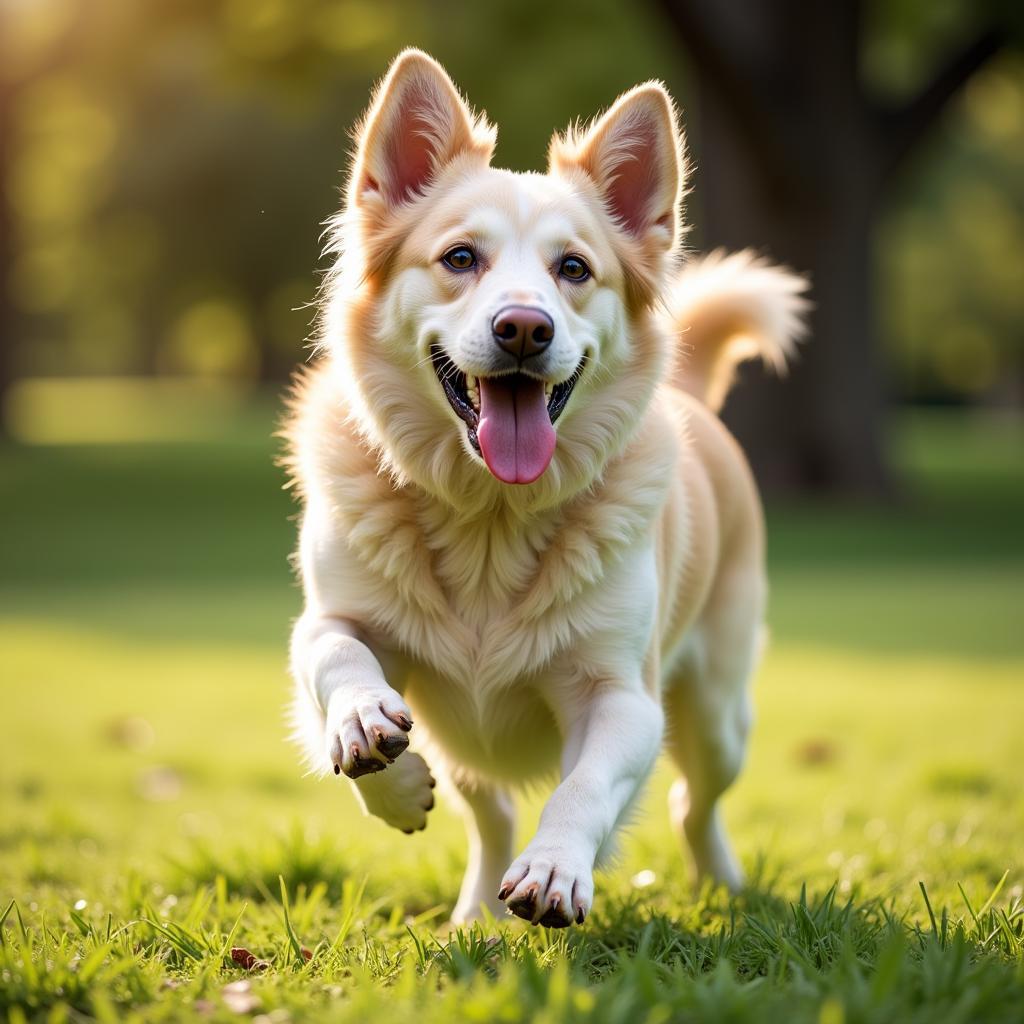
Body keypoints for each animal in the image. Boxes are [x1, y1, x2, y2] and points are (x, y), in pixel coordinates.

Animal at [282, 48, 806, 929]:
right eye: (461, 258)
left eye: (574, 270)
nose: (525, 328)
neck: (492, 517)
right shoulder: (328, 617)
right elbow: (337, 661)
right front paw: (377, 754)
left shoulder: (625, 697)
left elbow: (583, 790)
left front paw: (557, 870)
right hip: (470, 747)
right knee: (489, 814)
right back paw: (473, 915)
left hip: (717, 714)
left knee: (691, 804)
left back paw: (723, 884)